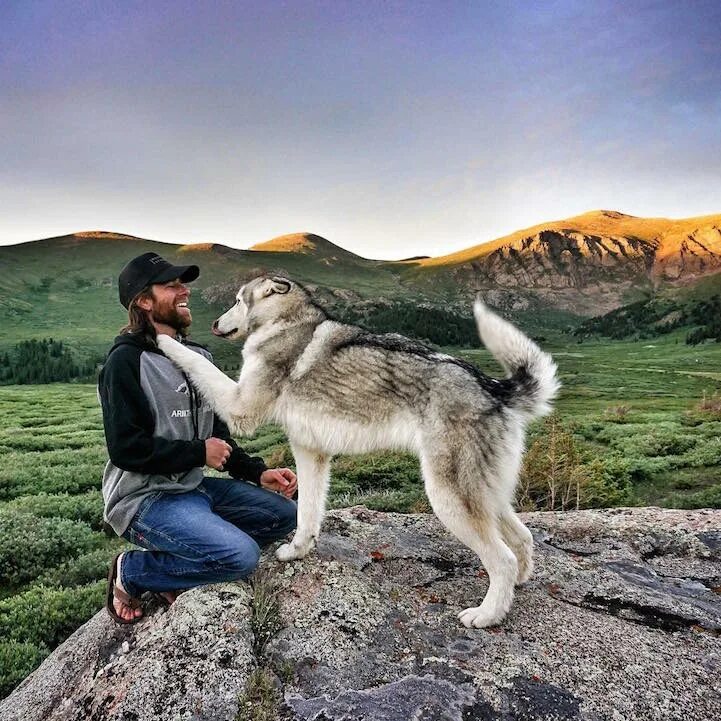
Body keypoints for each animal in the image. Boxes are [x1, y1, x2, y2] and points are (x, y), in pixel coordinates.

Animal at [158, 276, 560, 624]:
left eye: (239, 300)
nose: (213, 323)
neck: (285, 323)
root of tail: (493, 388)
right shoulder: (310, 452)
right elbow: (308, 513)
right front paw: (298, 551)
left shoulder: (240, 408)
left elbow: (196, 361)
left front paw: (161, 338)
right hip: (485, 496)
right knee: (523, 538)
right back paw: (516, 589)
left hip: (449, 499)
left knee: (503, 559)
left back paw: (487, 615)